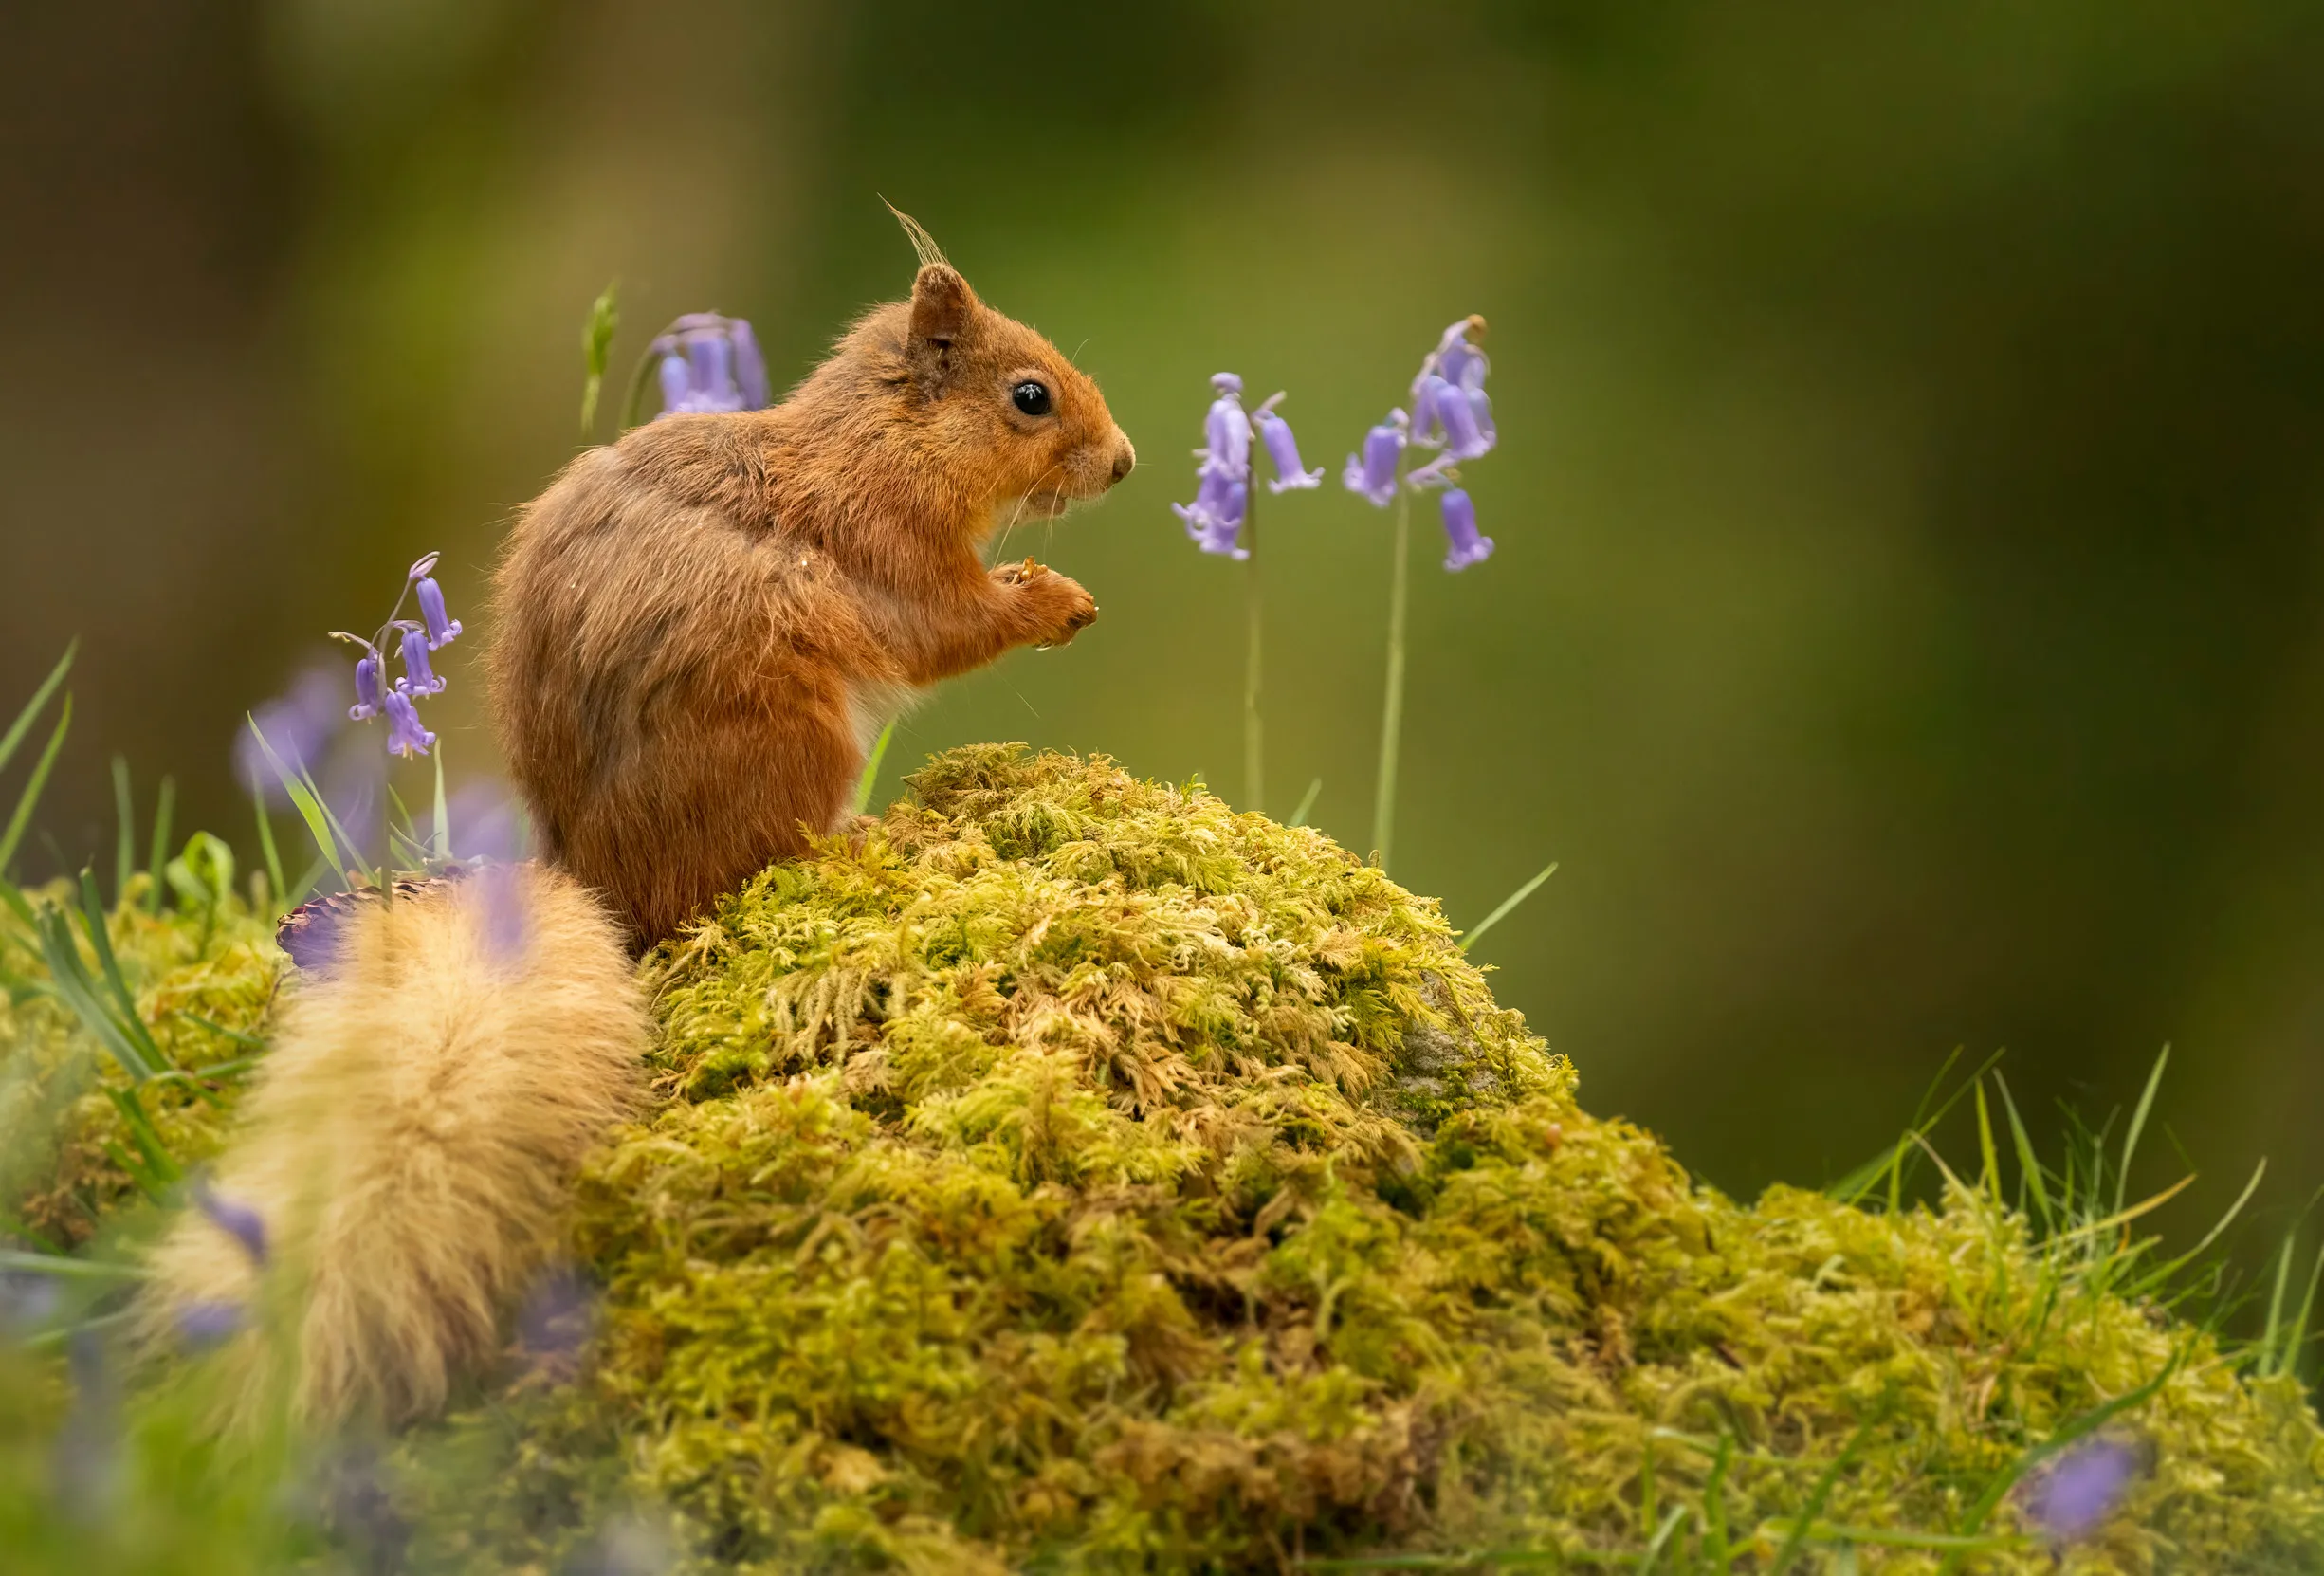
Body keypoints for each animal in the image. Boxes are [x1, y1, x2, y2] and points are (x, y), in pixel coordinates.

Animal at [492, 234, 1134, 944]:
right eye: (1030, 396)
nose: (1123, 461)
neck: (887, 446)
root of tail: (598, 875)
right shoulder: (887, 546)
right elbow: (948, 629)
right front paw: (1056, 603)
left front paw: (1025, 576)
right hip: (787, 733)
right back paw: (858, 839)